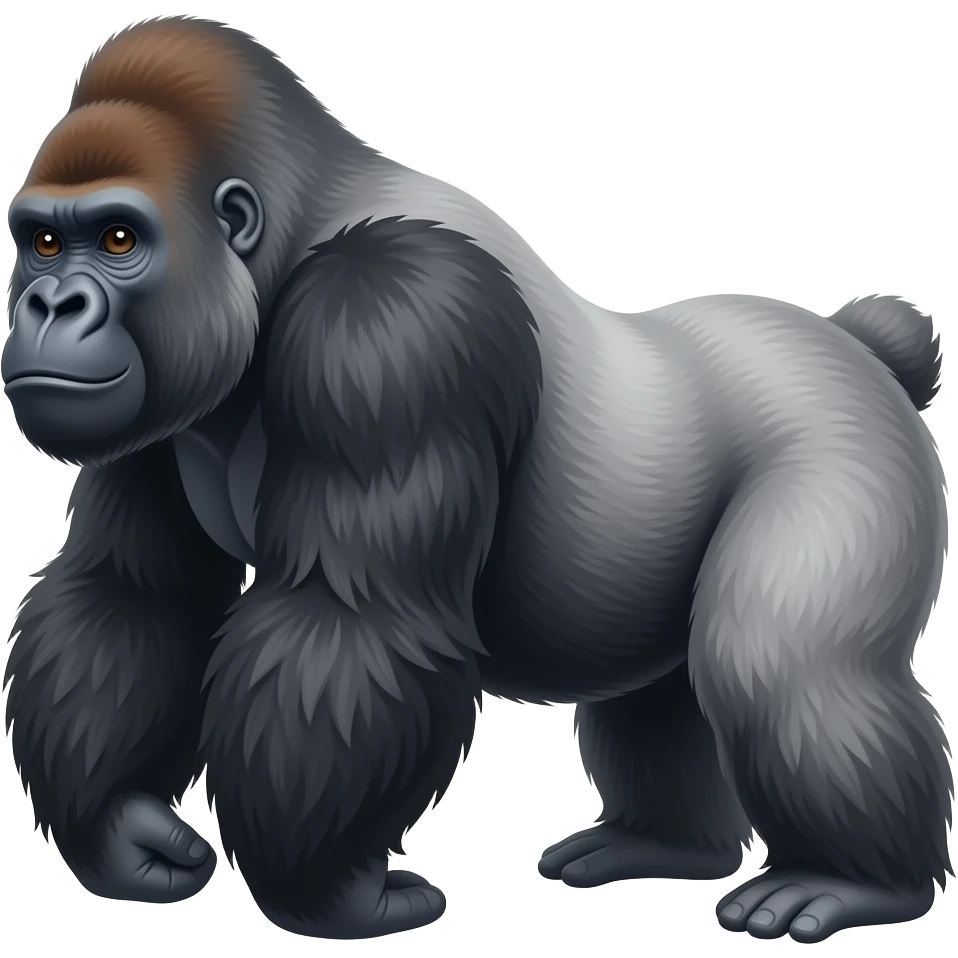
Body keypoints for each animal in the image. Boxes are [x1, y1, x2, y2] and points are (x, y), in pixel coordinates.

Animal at [1, 14, 950, 944]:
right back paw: (665, 842)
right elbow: (135, 592)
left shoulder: (390, 315)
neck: (293, 230)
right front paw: (118, 827)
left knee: (778, 667)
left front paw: (330, 894)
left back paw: (858, 882)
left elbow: (349, 624)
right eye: (43, 242)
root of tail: (857, 346)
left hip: (844, 440)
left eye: (119, 238)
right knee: (669, 694)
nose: (49, 305)